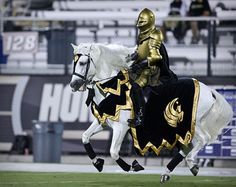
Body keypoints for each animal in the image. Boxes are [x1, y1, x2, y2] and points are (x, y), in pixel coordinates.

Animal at [69, 42, 233, 183]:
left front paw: (133, 166)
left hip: (193, 124)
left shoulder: (121, 127)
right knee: (188, 146)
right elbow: (85, 137)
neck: (112, 88)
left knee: (203, 140)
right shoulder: (103, 122)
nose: (73, 85)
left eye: (82, 63)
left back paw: (191, 163)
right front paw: (97, 162)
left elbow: (114, 152)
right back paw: (169, 172)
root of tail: (209, 90)